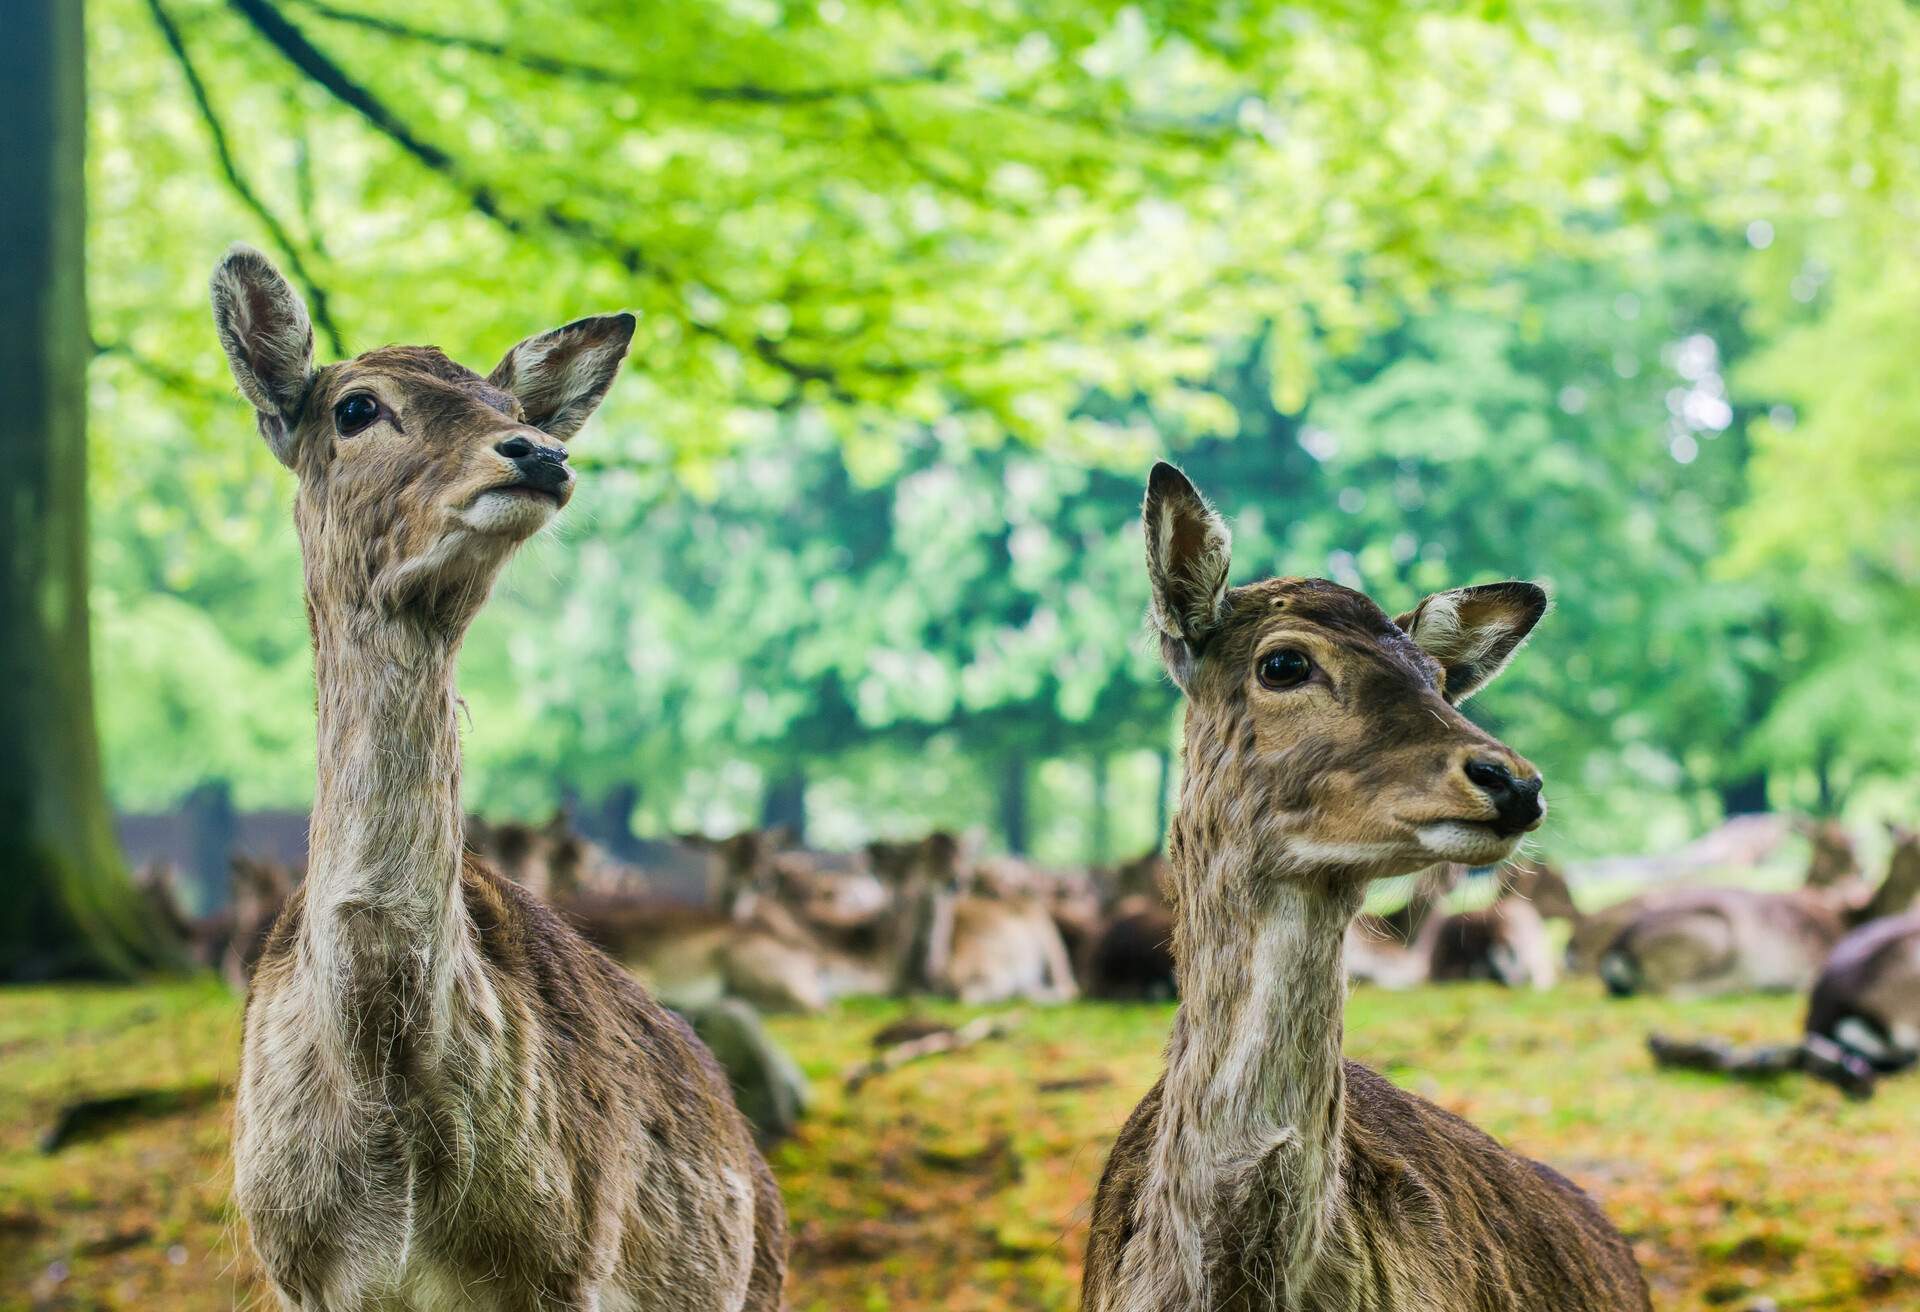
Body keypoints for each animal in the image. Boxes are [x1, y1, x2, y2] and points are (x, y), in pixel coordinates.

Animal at [220, 249, 791, 1312]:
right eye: (355, 406)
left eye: (504, 402)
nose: (539, 452)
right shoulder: (292, 1270)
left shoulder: (562, 1261)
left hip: (758, 1282)